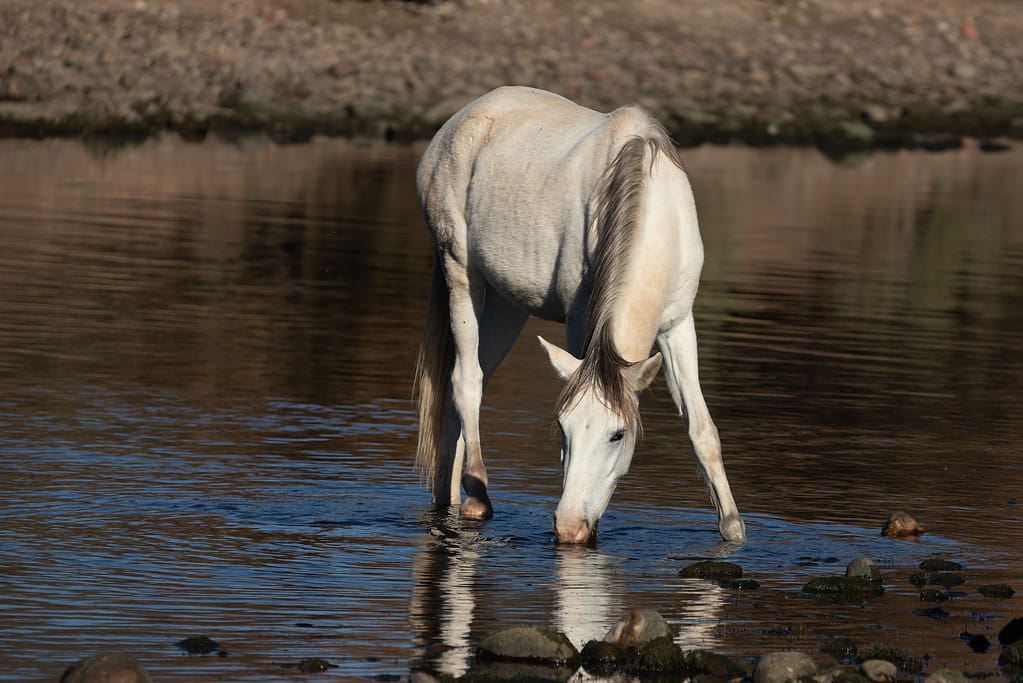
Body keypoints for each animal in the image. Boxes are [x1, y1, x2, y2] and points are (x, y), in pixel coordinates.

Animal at [415, 85, 744, 543]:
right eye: (561, 426)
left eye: (618, 435)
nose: (569, 528)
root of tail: (460, 120)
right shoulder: (580, 322)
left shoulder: (679, 325)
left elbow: (702, 430)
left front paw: (733, 530)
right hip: (460, 271)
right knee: (466, 380)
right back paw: (477, 499)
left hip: (505, 305)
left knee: (460, 393)